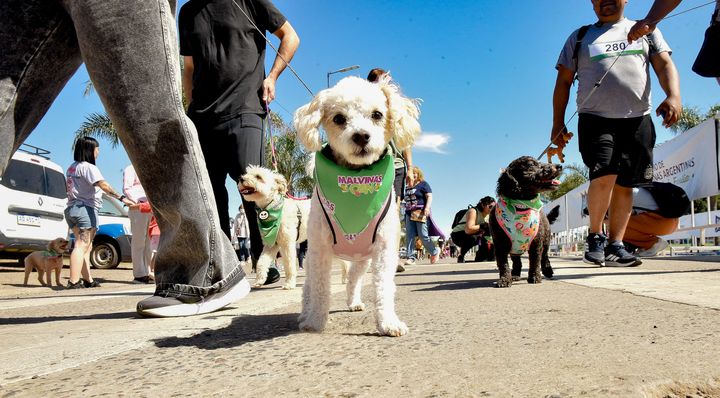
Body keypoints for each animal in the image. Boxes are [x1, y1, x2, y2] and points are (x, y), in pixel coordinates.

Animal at [294, 75, 422, 336]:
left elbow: (384, 287)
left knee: (353, 279)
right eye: (338, 118)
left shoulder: (384, 249)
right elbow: (320, 288)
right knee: (308, 287)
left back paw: (353, 302)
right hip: (311, 257)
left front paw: (388, 323)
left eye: (377, 114)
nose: (361, 136)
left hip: (362, 258)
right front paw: (315, 321)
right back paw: (305, 313)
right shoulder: (319, 249)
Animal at [490, 156, 564, 290]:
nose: (559, 166)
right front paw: (505, 279)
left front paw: (535, 277)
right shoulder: (500, 245)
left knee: (544, 257)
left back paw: (547, 270)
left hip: (546, 241)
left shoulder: (536, 243)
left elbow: (535, 261)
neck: (520, 207)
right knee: (517, 262)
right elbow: (503, 264)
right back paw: (515, 275)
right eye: (531, 165)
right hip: (515, 249)